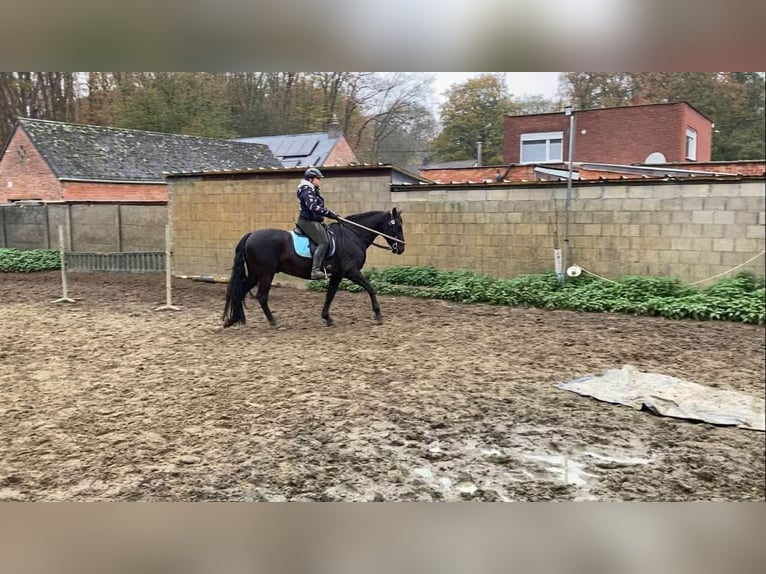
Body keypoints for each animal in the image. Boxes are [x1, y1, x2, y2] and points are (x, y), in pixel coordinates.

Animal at [222, 208, 405, 328]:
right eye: (397, 226)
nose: (401, 248)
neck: (353, 234)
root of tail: (251, 235)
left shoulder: (337, 274)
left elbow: (330, 295)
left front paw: (327, 318)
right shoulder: (351, 271)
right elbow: (370, 288)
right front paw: (378, 315)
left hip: (255, 274)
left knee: (240, 291)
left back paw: (233, 320)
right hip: (265, 274)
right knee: (261, 296)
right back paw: (273, 321)